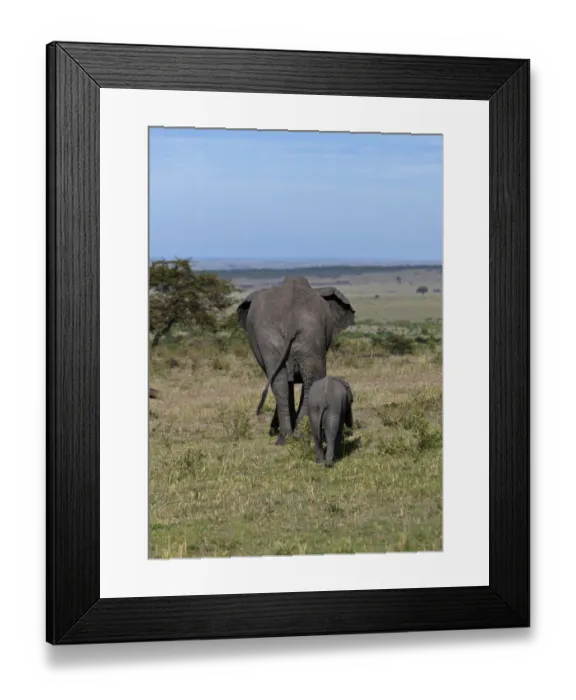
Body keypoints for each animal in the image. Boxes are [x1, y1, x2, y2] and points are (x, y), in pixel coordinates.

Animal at [236, 276, 355, 445]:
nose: (271, 430)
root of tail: (291, 321)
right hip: (304, 336)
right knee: (300, 382)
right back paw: (294, 436)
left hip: (289, 337)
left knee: (284, 383)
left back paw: (289, 437)